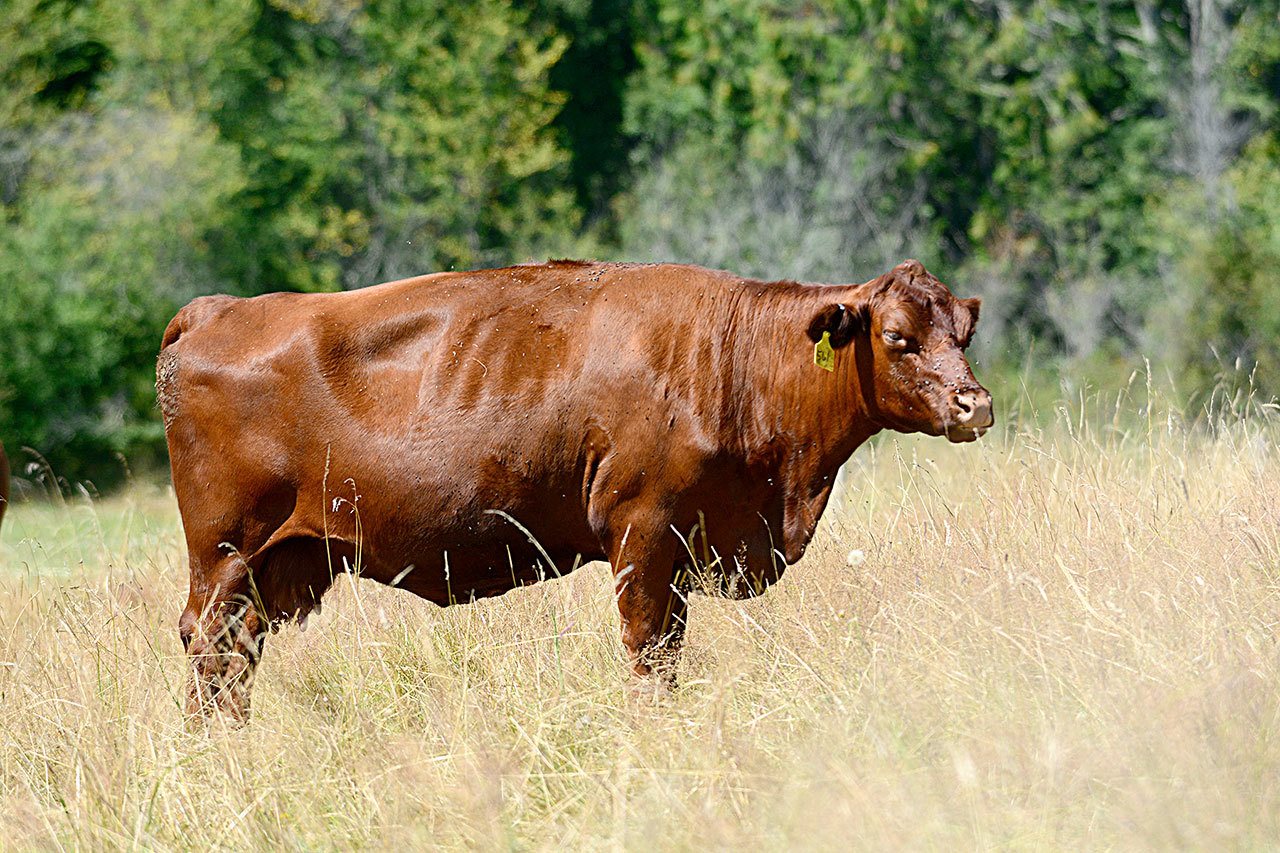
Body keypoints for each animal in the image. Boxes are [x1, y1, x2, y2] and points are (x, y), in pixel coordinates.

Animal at [158, 258, 992, 722]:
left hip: (271, 566)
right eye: (896, 336)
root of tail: (216, 310)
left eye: (963, 331)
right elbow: (649, 654)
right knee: (209, 651)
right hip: (226, 556)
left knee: (234, 660)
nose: (974, 403)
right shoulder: (644, 538)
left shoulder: (681, 554)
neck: (731, 357)